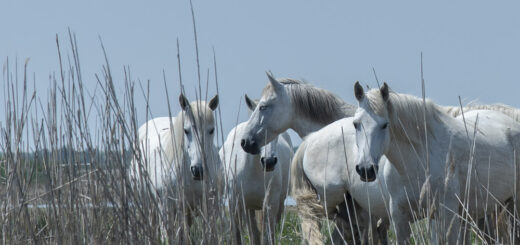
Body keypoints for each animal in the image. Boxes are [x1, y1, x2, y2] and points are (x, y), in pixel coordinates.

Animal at [219, 94, 292, 244]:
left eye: (276, 131)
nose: (269, 162)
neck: (253, 170)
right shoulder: (235, 204)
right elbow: (238, 235)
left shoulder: (270, 204)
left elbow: (267, 236)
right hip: (249, 208)